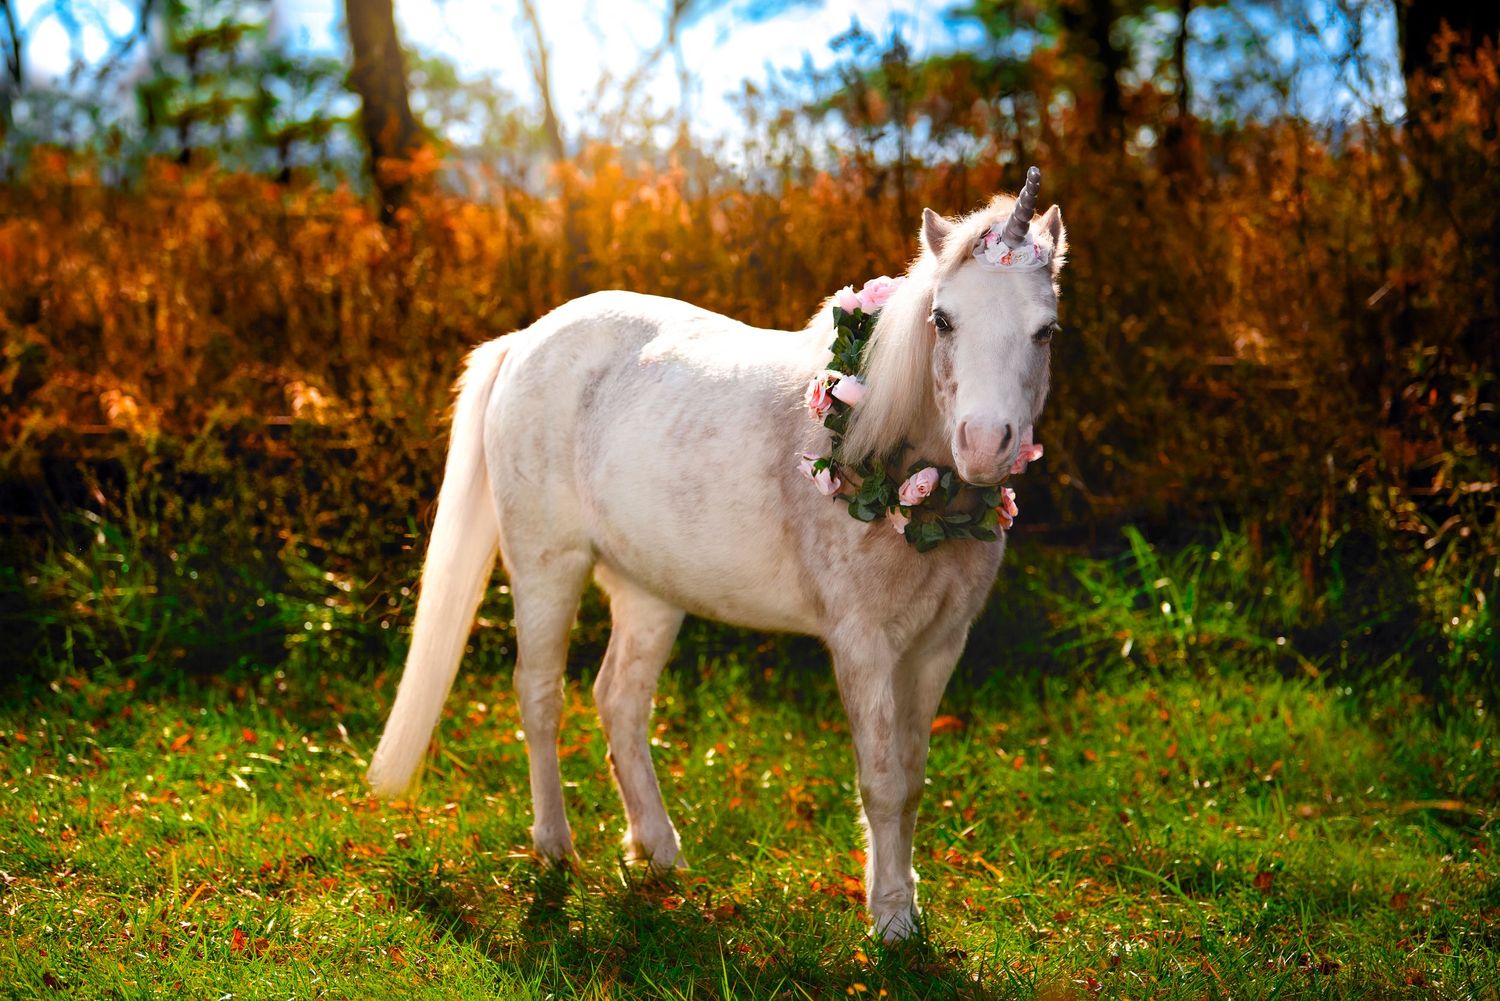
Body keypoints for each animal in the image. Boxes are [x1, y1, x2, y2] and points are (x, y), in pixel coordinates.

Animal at [367, 168, 1068, 941]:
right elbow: (882, 779)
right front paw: (889, 921)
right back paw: (555, 846)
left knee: (619, 700)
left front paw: (904, 902)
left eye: (1046, 330)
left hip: (649, 591)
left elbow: (913, 776)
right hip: (546, 566)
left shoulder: (939, 643)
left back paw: (657, 850)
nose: (985, 443)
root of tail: (524, 342)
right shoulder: (864, 644)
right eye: (943, 320)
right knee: (541, 694)